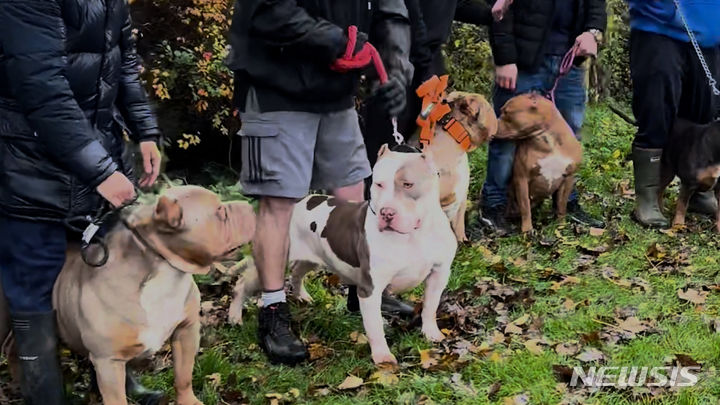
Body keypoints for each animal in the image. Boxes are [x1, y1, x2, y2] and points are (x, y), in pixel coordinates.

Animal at [0, 185, 256, 404]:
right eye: (220, 212)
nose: (250, 205)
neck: (165, 269)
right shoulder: (108, 361)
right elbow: (117, 399)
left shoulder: (186, 331)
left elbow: (183, 376)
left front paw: (189, 402)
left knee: (15, 348)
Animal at [498, 93, 584, 232]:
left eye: (506, 112)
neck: (548, 140)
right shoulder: (521, 178)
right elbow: (525, 206)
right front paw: (527, 230)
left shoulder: (568, 177)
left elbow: (562, 204)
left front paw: (561, 225)